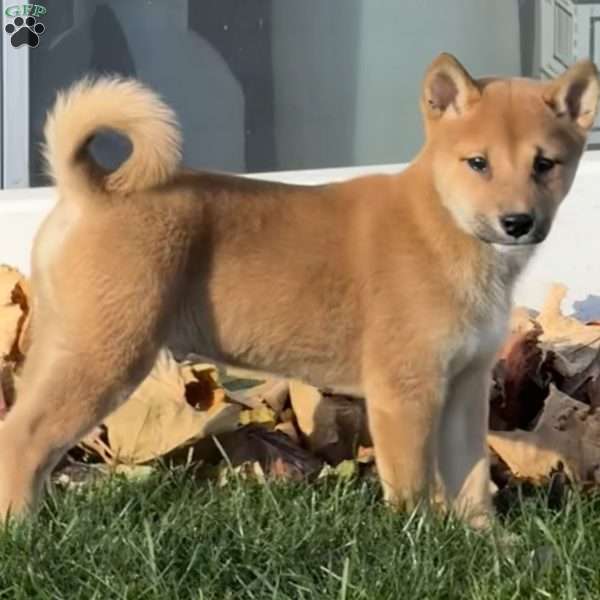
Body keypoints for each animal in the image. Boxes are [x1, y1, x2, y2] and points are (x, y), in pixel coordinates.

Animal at [0, 54, 596, 528]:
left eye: (545, 164)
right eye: (478, 163)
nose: (517, 222)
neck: (443, 227)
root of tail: (94, 189)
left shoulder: (465, 389)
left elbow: (471, 481)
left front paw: (488, 543)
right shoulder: (407, 391)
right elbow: (413, 486)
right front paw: (420, 545)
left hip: (64, 349)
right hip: (106, 357)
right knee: (23, 439)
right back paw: (23, 533)